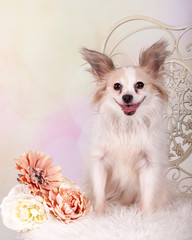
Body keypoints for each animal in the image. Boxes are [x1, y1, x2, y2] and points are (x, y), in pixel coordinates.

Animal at [82, 40, 172, 215]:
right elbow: (99, 192)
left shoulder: (149, 164)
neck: (128, 124)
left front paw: (146, 215)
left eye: (140, 85)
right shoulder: (100, 162)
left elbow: (147, 195)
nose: (127, 97)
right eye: (117, 86)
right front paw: (99, 214)